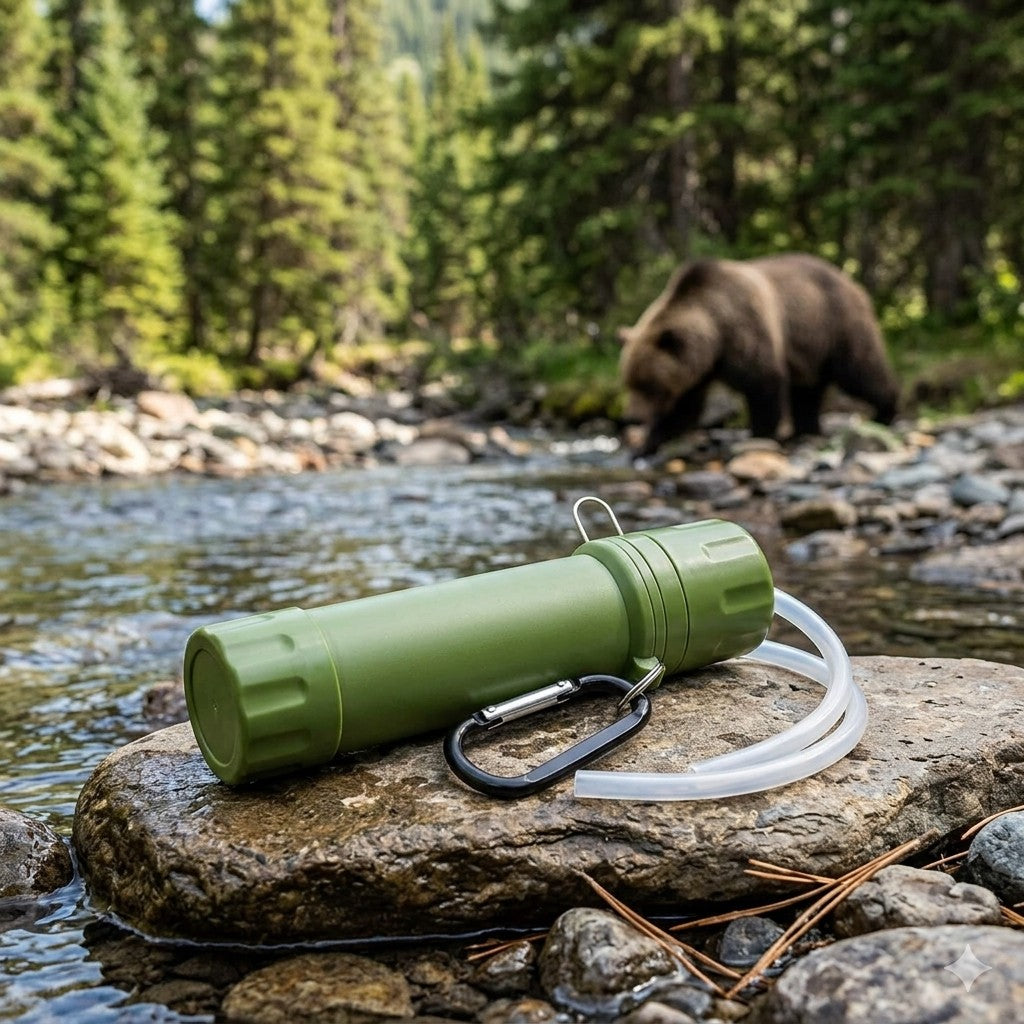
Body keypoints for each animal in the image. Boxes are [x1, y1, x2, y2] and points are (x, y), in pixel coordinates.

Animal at [618, 253, 899, 456]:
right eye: (630, 383)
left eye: (649, 385)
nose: (632, 418)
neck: (716, 335)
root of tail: (849, 279)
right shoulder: (697, 372)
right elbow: (684, 407)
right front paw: (645, 446)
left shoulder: (745, 330)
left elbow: (763, 382)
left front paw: (760, 434)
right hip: (809, 351)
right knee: (807, 391)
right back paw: (804, 430)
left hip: (836, 326)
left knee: (860, 371)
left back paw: (884, 412)